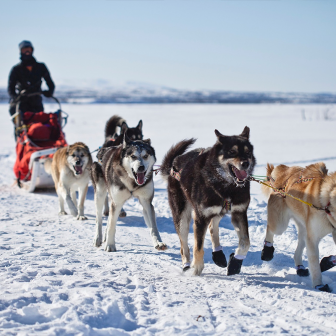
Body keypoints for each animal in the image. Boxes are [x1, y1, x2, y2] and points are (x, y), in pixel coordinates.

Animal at [161, 126, 256, 276]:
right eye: (232, 152)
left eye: (248, 152)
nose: (245, 163)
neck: (227, 186)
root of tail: (174, 164)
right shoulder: (201, 217)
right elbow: (198, 247)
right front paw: (197, 267)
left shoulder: (239, 212)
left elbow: (246, 242)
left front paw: (235, 262)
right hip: (182, 217)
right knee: (184, 245)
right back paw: (187, 265)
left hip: (219, 211)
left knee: (212, 226)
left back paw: (218, 255)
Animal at [262, 163, 336, 292]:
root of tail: (284, 169)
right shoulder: (313, 239)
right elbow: (315, 265)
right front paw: (319, 285)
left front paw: (327, 262)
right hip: (280, 225)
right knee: (270, 229)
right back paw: (267, 250)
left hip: (304, 229)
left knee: (298, 250)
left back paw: (300, 267)